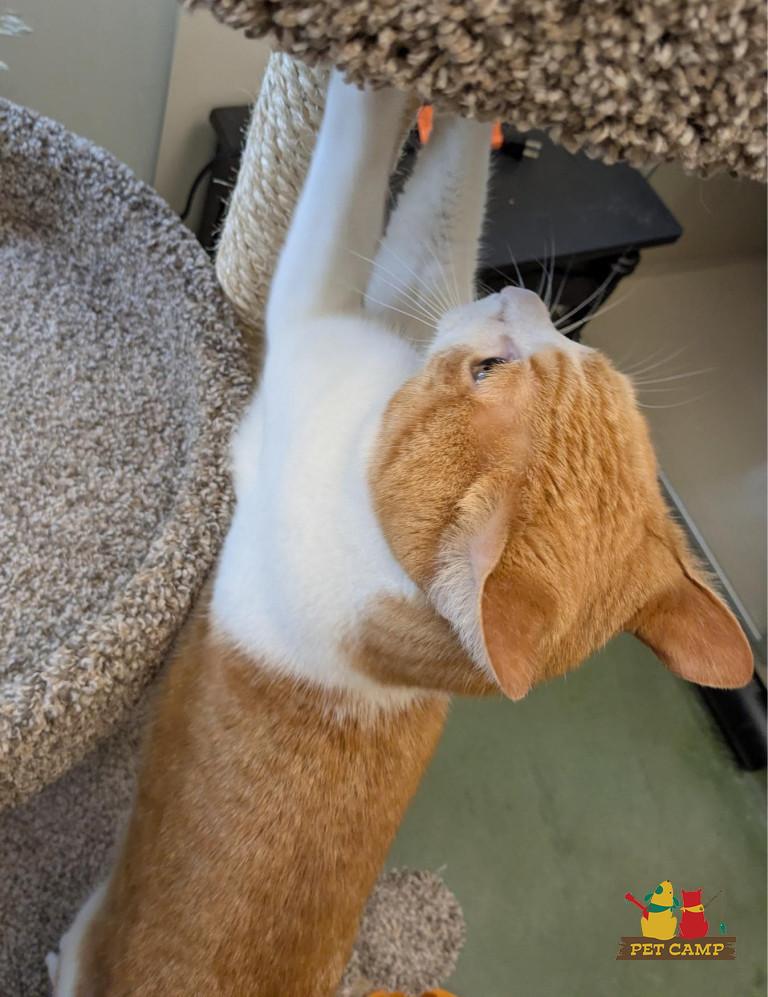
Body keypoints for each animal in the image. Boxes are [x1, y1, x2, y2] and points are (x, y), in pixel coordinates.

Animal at [50, 72, 752, 996]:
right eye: (570, 358)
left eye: (487, 369)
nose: (523, 296)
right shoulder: (411, 297)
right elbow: (448, 199)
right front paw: (469, 98)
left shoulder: (317, 309)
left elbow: (349, 174)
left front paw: (370, 78)